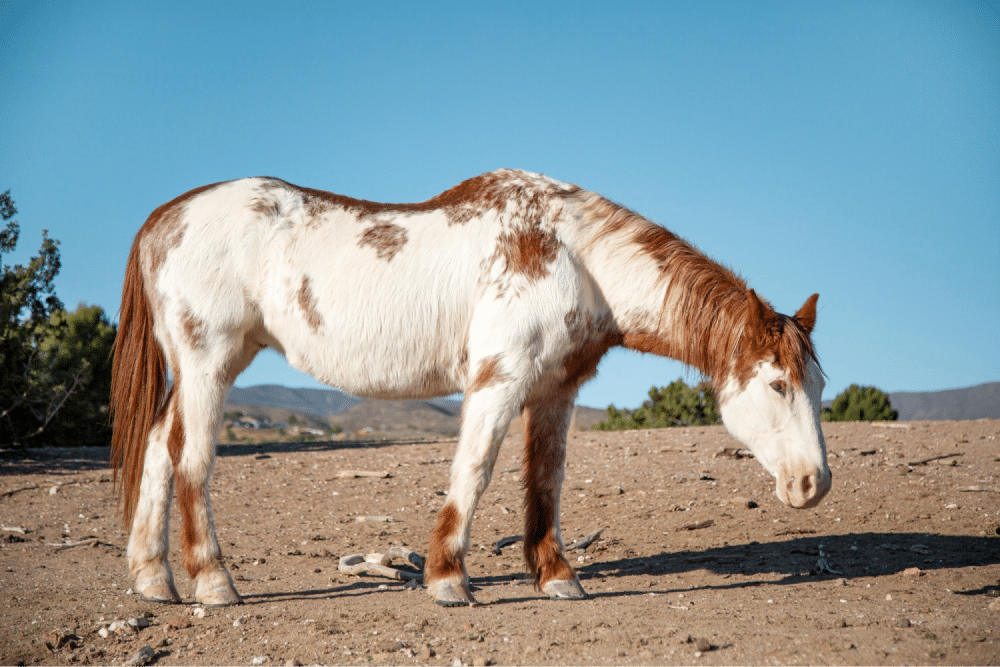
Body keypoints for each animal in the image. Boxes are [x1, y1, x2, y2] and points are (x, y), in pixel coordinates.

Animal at [109, 170, 832, 608]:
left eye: (818, 385)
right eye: (777, 383)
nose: (813, 484)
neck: (575, 255)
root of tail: (165, 217)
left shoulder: (555, 390)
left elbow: (545, 481)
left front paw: (557, 577)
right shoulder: (499, 380)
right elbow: (475, 471)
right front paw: (449, 579)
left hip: (199, 369)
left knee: (156, 451)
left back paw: (152, 579)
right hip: (209, 364)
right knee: (191, 462)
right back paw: (214, 583)